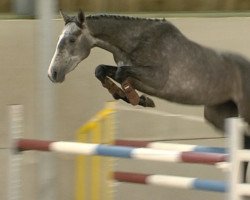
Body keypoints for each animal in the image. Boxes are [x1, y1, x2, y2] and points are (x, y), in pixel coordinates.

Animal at [47, 10, 250, 180]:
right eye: (59, 38)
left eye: (72, 40)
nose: (53, 74)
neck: (135, 43)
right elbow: (102, 70)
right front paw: (137, 98)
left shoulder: (157, 78)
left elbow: (121, 73)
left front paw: (138, 99)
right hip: (217, 114)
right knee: (242, 143)